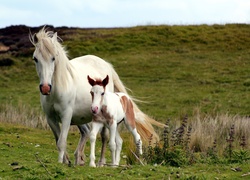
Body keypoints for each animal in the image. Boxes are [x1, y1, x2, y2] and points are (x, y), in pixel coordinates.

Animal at [29, 27, 164, 166]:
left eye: (53, 58)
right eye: (35, 59)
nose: (45, 88)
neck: (58, 89)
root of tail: (106, 65)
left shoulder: (66, 116)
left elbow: (62, 141)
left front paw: (61, 163)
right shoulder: (50, 118)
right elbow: (58, 140)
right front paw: (66, 161)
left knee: (104, 136)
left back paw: (100, 162)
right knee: (89, 133)